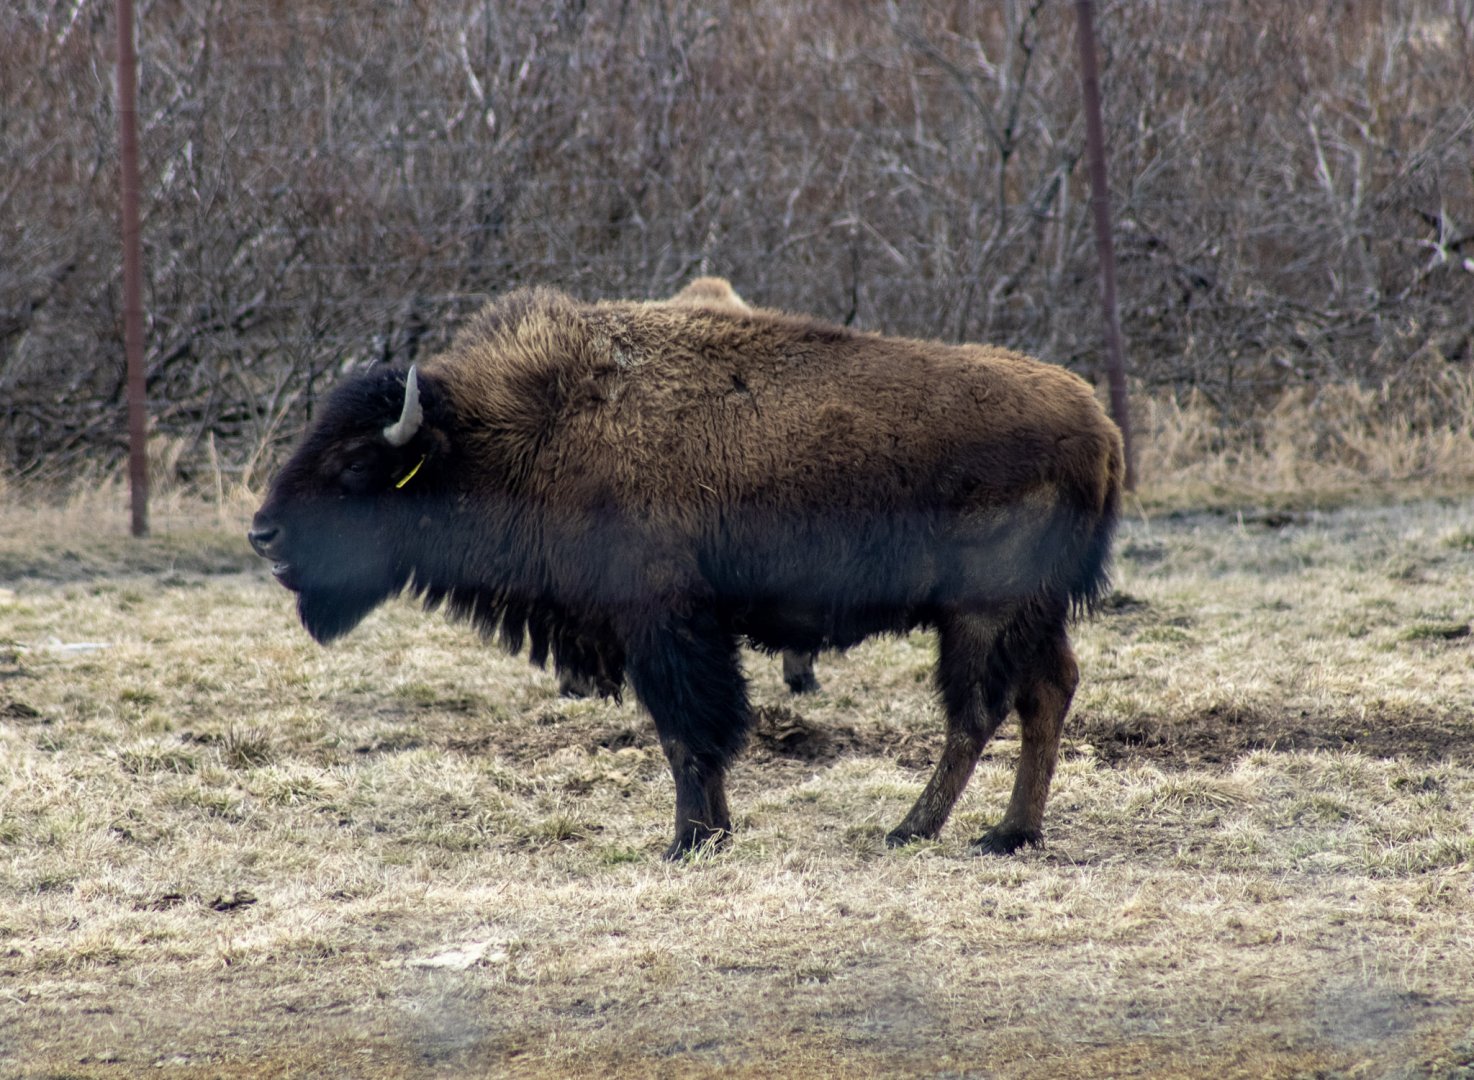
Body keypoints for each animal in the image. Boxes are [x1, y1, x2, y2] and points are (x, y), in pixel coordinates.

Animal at [249, 286, 1123, 860]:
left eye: (355, 464)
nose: (263, 532)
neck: (521, 433)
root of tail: (1099, 425)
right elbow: (695, 733)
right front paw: (710, 833)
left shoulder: (661, 624)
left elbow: (686, 732)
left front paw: (689, 841)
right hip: (1031, 615)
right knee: (1046, 695)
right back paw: (1009, 834)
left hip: (982, 613)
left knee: (975, 713)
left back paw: (911, 829)